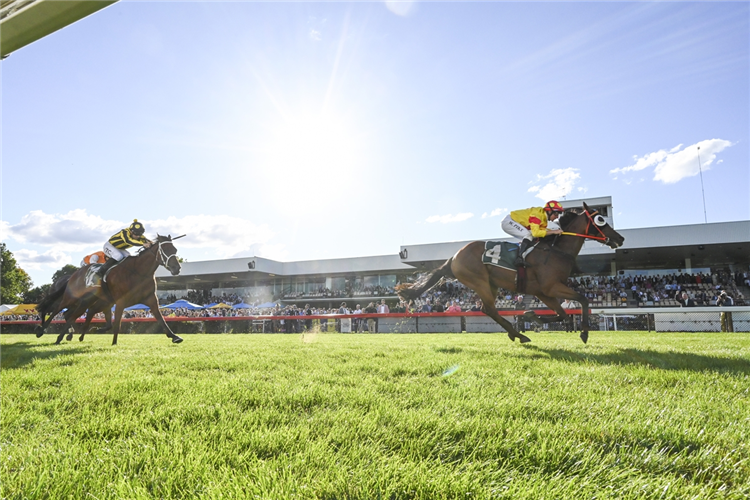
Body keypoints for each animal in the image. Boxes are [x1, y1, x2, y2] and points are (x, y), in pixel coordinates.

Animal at [52, 233, 186, 344]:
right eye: (165, 250)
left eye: (175, 249)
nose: (177, 268)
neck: (138, 271)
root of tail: (74, 275)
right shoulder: (120, 301)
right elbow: (117, 323)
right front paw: (114, 343)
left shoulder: (151, 298)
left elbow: (161, 318)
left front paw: (174, 336)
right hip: (78, 299)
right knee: (65, 313)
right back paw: (57, 336)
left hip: (96, 302)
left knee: (80, 314)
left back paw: (77, 334)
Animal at [396, 203, 624, 344]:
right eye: (601, 220)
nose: (620, 239)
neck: (556, 251)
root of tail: (454, 256)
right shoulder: (552, 287)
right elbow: (583, 300)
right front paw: (584, 332)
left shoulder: (543, 292)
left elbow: (562, 313)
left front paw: (532, 316)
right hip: (479, 281)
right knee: (489, 309)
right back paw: (519, 335)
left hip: (492, 284)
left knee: (487, 309)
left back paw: (517, 334)